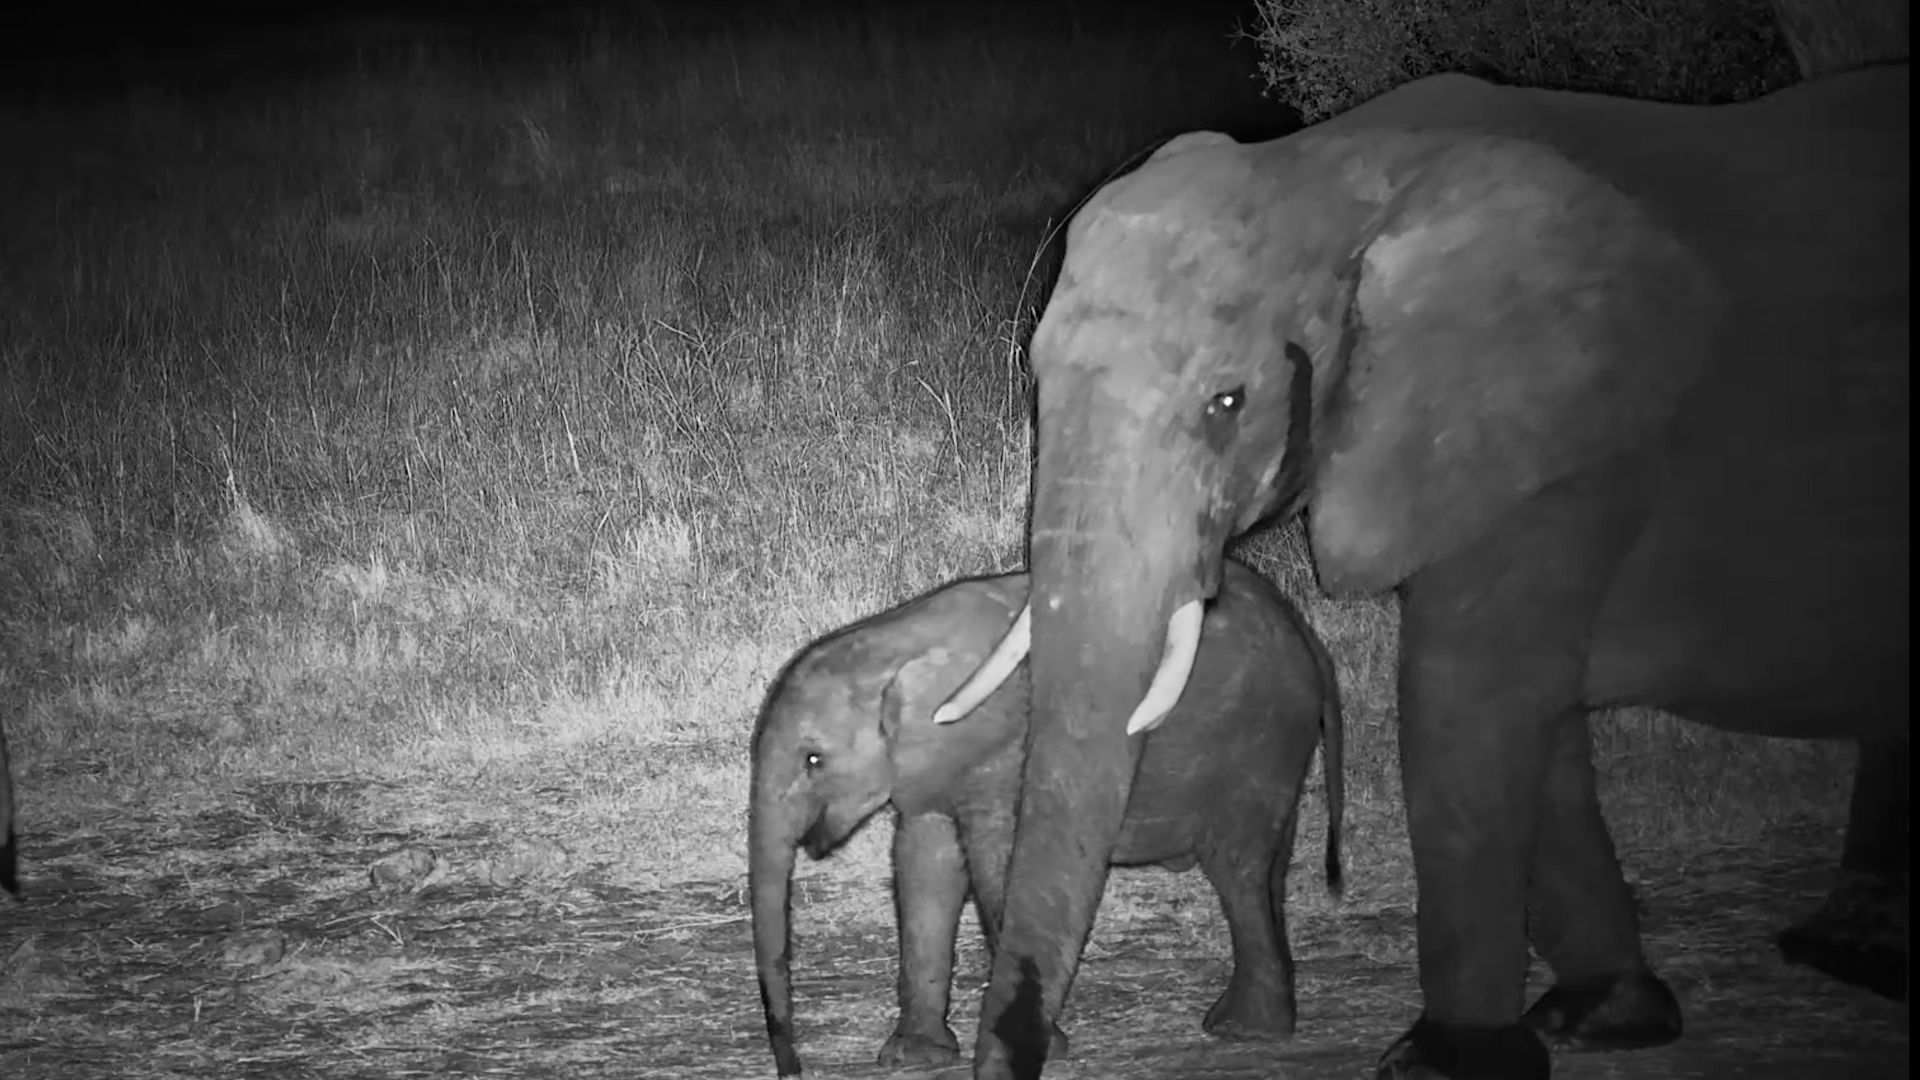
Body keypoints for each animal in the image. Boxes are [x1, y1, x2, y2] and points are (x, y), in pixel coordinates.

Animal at [749, 561, 1344, 1078]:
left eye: (813, 760)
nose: (793, 1070)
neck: (894, 644)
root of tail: (1310, 640)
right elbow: (926, 868)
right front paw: (914, 1057)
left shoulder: (1006, 749)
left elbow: (998, 866)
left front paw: (1037, 1050)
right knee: (1267, 871)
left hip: (1258, 741)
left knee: (1237, 869)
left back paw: (1245, 1031)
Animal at [933, 66, 1908, 1080]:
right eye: (1035, 376)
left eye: (1227, 403)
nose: (1022, 1049)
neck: (1339, 175)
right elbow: (1534, 723)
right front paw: (1605, 1017)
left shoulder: (1562, 444)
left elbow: (1466, 703)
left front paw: (1449, 1059)